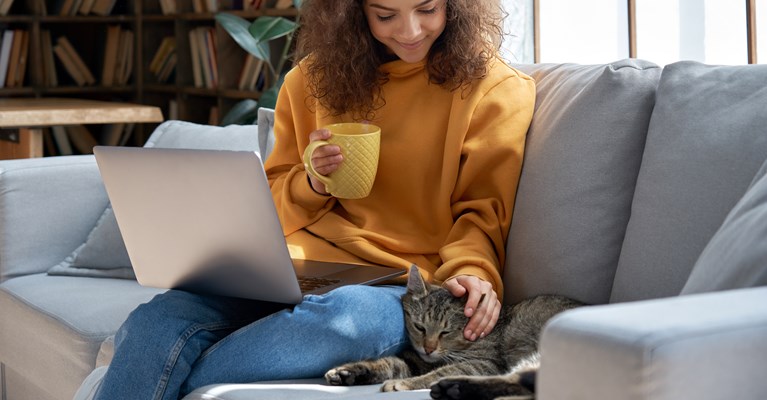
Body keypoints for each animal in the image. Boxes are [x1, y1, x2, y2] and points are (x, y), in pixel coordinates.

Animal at [324, 266, 584, 400]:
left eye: (445, 332)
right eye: (420, 327)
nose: (428, 348)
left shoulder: (485, 363)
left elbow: (438, 372)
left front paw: (404, 384)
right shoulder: (414, 360)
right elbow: (387, 363)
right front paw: (349, 373)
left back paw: (453, 388)